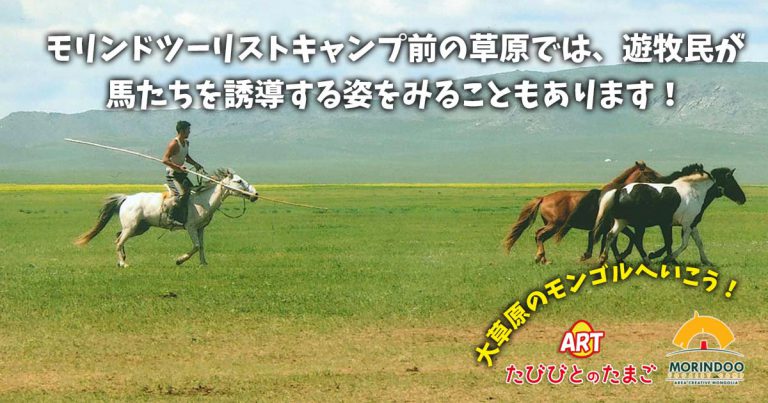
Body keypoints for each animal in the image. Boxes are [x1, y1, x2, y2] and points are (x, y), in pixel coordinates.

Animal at [75, 169, 258, 267]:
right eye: (238, 181)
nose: (255, 194)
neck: (203, 200)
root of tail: (126, 198)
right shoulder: (191, 227)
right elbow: (196, 246)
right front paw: (179, 260)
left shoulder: (200, 228)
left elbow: (202, 246)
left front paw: (203, 264)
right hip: (131, 227)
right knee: (119, 241)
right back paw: (124, 264)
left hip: (140, 228)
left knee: (117, 237)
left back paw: (121, 262)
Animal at [503, 161, 661, 264]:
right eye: (648, 172)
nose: (661, 180)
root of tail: (544, 198)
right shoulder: (613, 224)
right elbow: (628, 238)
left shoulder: (610, 226)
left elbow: (614, 241)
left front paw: (615, 257)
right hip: (554, 225)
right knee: (540, 235)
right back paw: (541, 258)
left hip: (551, 224)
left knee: (538, 235)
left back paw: (543, 259)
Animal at [594, 167, 745, 266]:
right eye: (731, 180)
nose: (743, 199)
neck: (695, 193)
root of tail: (620, 191)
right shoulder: (685, 225)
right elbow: (683, 244)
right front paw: (667, 259)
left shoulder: (692, 225)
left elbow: (698, 242)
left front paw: (706, 261)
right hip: (638, 224)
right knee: (636, 240)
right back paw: (647, 261)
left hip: (621, 222)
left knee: (610, 236)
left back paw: (604, 259)